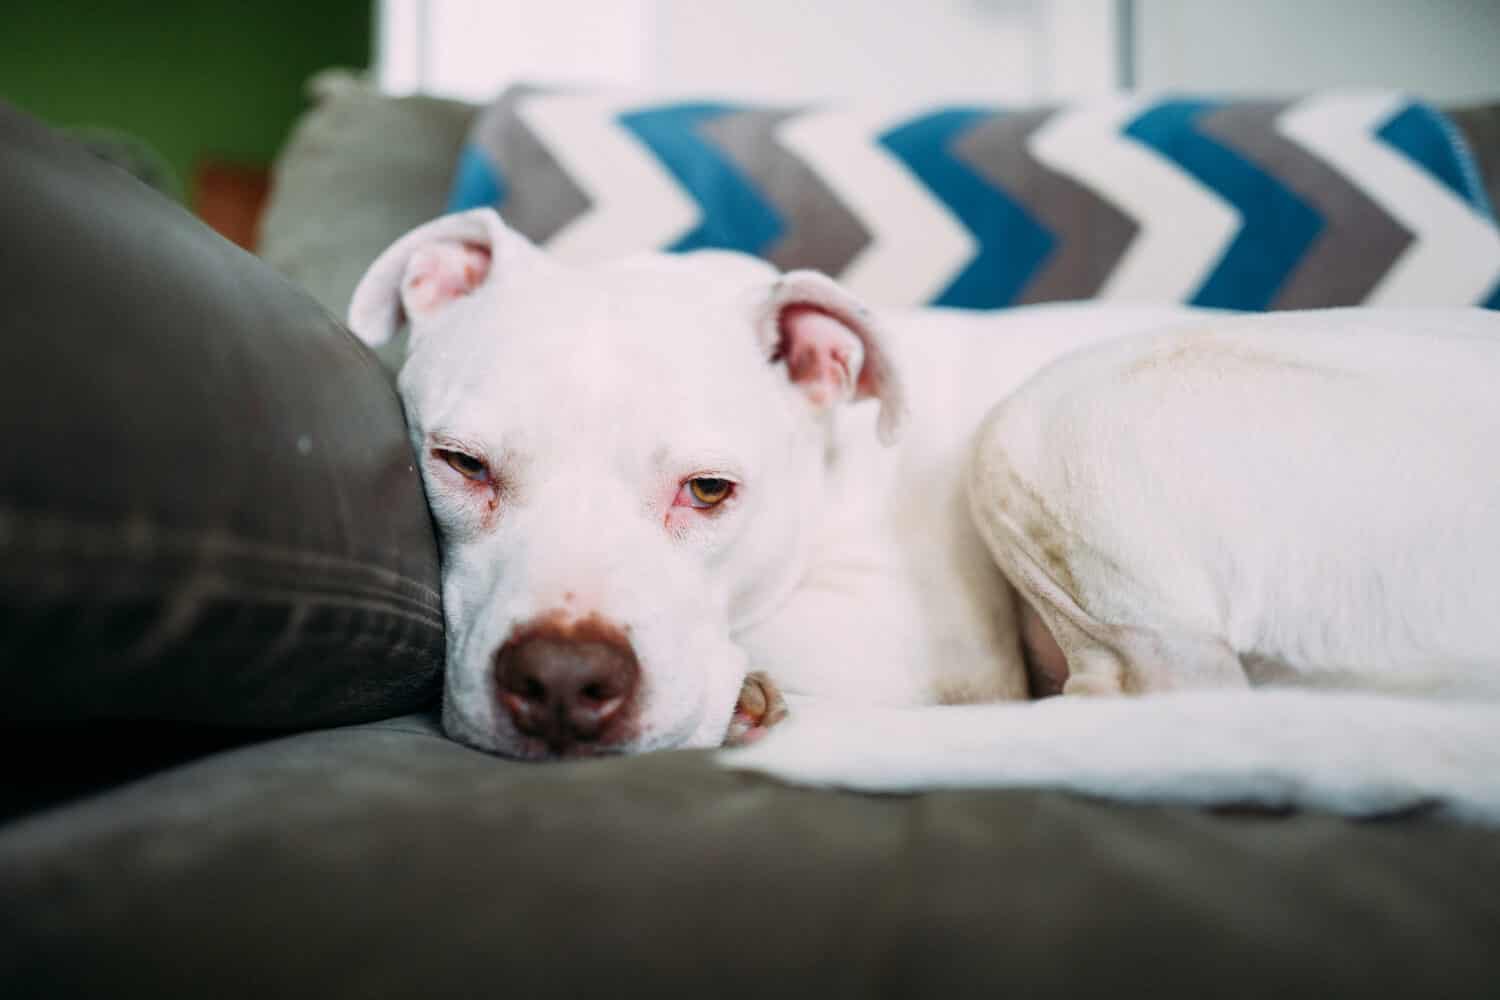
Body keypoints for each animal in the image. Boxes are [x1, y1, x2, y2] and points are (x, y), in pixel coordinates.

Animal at [348, 206, 1500, 827]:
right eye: (461, 464)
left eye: (709, 490)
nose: (560, 680)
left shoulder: (920, 643)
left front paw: (750, 698)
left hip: (1060, 412)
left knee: (1148, 700)